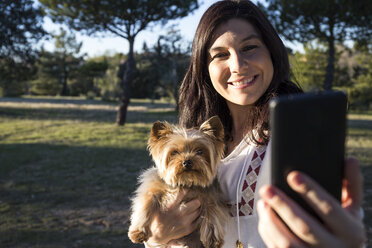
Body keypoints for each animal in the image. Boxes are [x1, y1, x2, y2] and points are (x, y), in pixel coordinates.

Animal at [127, 116, 227, 248]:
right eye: (174, 152)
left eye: (200, 151)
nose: (187, 161)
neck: (185, 182)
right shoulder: (151, 189)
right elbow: (145, 205)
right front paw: (138, 232)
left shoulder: (211, 196)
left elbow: (213, 214)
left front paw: (213, 239)